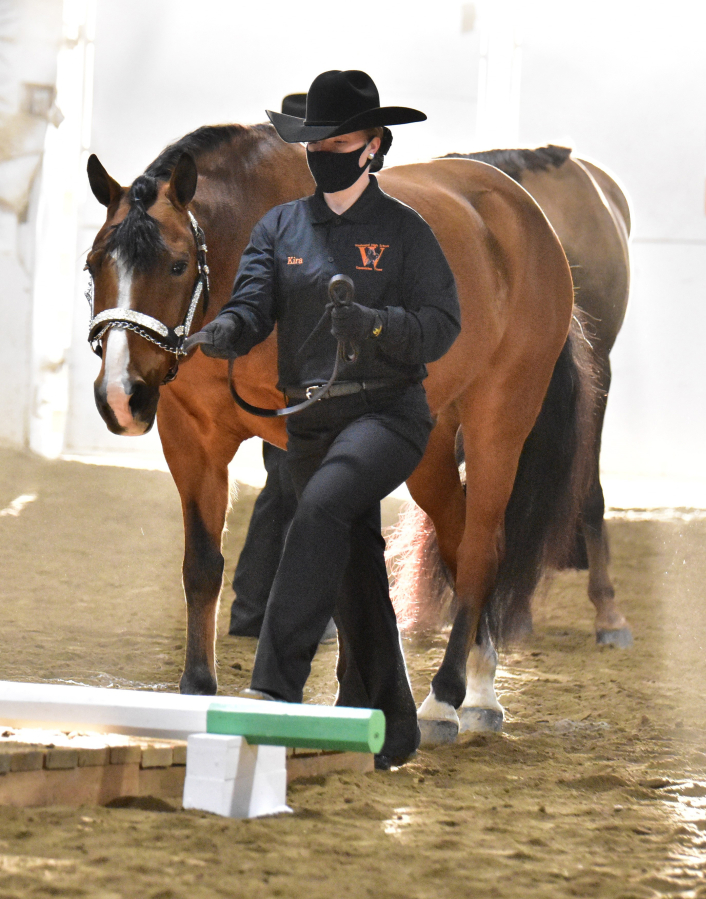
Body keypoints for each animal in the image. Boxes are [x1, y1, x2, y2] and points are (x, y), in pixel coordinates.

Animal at [85, 126, 592, 744]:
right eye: (93, 265)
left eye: (178, 266)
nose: (120, 396)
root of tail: (529, 218)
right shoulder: (191, 440)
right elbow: (203, 566)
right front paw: (197, 691)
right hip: (429, 444)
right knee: (457, 539)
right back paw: (479, 687)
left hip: (499, 419)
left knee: (479, 548)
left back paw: (446, 699)